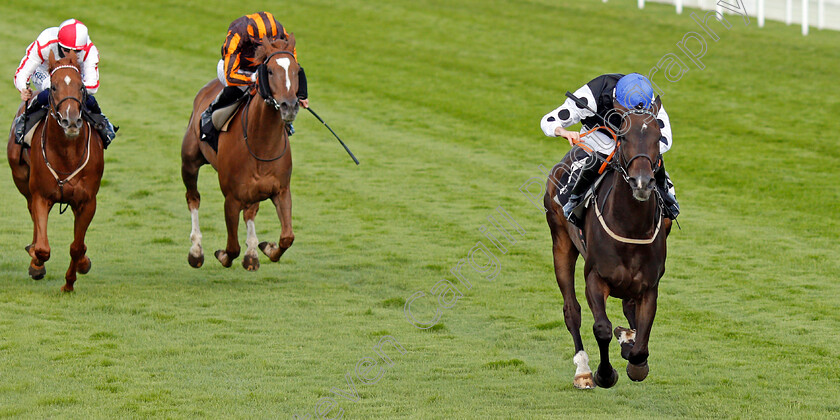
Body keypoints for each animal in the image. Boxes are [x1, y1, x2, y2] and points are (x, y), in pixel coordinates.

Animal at [6, 50, 105, 292]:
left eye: (81, 87)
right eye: (53, 87)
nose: (71, 121)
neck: (67, 155)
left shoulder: (87, 201)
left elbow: (77, 246)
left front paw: (71, 280)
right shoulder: (42, 195)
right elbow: (43, 248)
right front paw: (36, 262)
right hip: (22, 180)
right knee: (32, 214)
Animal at [180, 36, 302, 272]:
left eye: (296, 70)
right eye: (270, 71)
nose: (289, 106)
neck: (262, 143)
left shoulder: (281, 191)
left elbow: (287, 237)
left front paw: (266, 248)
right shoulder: (231, 198)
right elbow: (232, 247)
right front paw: (221, 255)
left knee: (250, 212)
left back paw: (252, 254)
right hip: (189, 161)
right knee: (193, 198)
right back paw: (196, 251)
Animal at [544, 100, 676, 388]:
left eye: (658, 138)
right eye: (623, 137)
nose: (642, 182)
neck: (630, 227)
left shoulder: (649, 285)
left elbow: (641, 340)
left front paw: (634, 357)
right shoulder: (595, 277)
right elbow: (601, 328)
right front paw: (605, 374)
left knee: (628, 308)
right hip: (561, 241)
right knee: (571, 310)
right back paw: (583, 371)